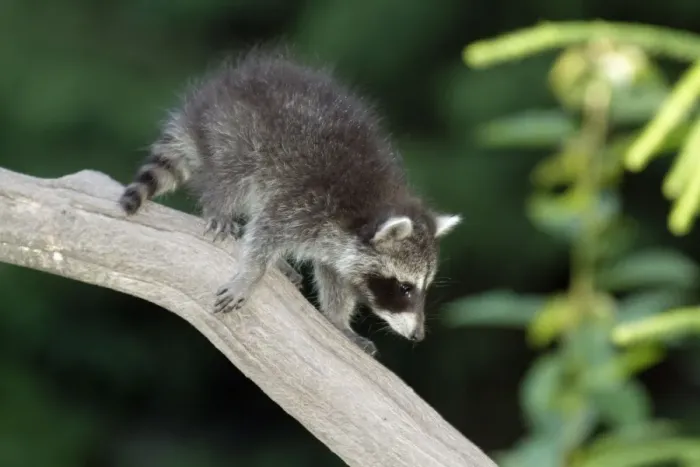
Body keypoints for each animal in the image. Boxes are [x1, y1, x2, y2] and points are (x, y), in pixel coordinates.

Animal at [118, 48, 461, 356]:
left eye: (423, 287)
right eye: (405, 288)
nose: (418, 336)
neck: (368, 208)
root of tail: (206, 100)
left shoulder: (336, 244)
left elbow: (334, 279)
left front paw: (338, 321)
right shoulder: (304, 204)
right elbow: (265, 233)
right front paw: (251, 274)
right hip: (235, 136)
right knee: (232, 180)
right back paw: (221, 209)